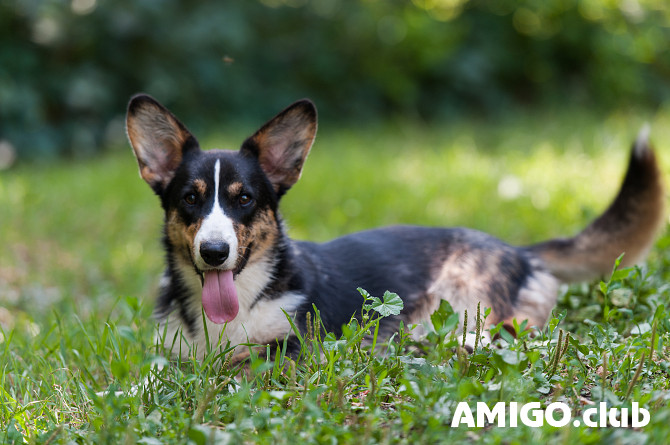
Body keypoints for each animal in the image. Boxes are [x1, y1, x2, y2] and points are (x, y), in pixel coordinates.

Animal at [126, 94, 668, 358]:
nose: (215, 252)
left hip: (464, 298)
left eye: (244, 200)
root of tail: (519, 251)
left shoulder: (291, 350)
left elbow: (237, 364)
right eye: (190, 199)